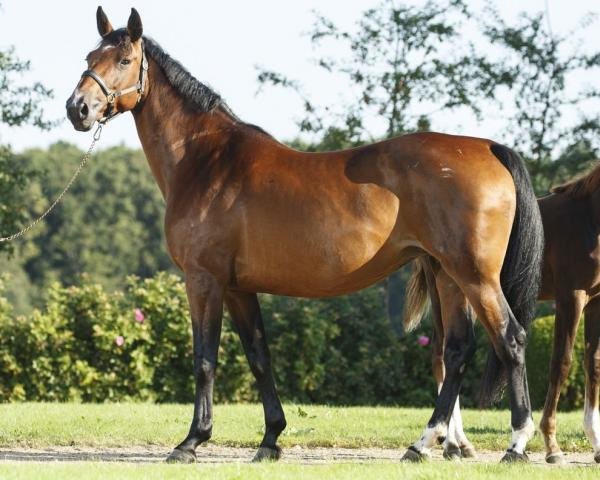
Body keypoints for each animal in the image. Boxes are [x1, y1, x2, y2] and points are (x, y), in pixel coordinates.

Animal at [65, 7, 544, 464]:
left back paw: (516, 444)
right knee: (457, 351)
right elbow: (259, 358)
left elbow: (205, 359)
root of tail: (488, 148)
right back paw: (422, 445)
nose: (78, 108)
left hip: (475, 276)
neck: (207, 161)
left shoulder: (204, 280)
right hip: (448, 276)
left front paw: (191, 442)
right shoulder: (238, 288)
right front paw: (270, 439)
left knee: (511, 340)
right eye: (89, 57)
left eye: (124, 60)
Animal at [406, 167, 600, 464]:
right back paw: (451, 444)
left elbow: (593, 364)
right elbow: (562, 363)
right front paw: (552, 447)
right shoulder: (572, 296)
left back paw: (459, 445)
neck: (588, 217)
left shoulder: (596, 301)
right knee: (440, 355)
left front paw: (597, 444)